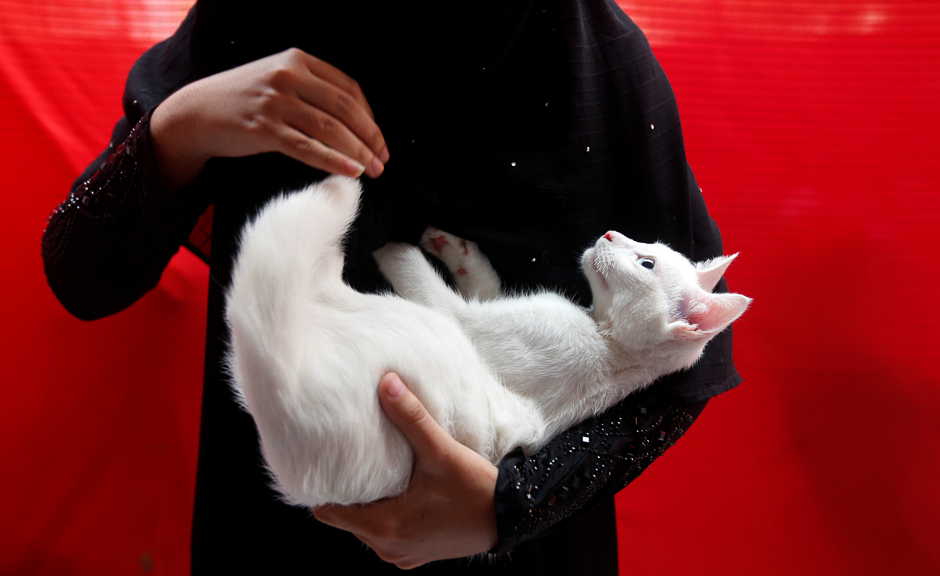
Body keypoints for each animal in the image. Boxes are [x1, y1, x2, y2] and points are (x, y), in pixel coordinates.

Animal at [224, 177, 752, 508]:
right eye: (648, 247)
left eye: (645, 263)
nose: (608, 232)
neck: (605, 337)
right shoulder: (487, 305)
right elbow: (482, 281)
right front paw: (454, 248)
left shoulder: (469, 322)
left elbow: (426, 282)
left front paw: (398, 249)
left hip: (411, 327)